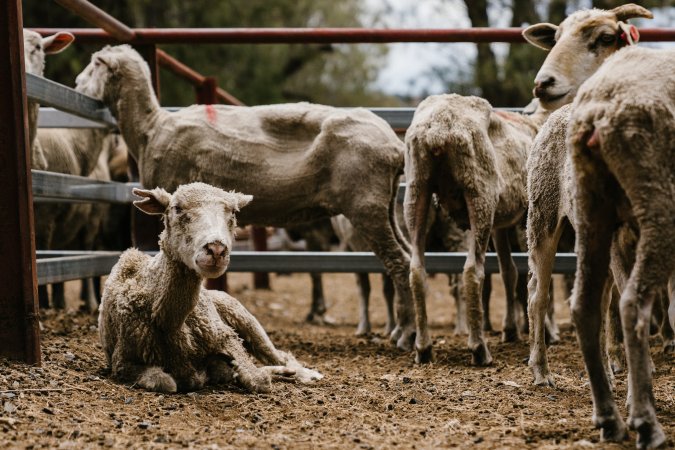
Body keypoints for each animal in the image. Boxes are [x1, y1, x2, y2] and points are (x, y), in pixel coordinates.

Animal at [74, 46, 418, 352]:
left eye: (94, 64)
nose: (76, 83)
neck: (149, 127)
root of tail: (393, 144)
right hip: (383, 204)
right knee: (408, 256)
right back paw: (402, 330)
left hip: (364, 202)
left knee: (399, 262)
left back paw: (407, 335)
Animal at [99, 181, 324, 392]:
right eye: (177, 208)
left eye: (233, 212)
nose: (216, 249)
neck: (169, 322)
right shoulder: (122, 360)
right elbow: (165, 382)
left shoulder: (225, 335)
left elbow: (256, 378)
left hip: (244, 317)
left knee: (280, 355)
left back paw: (306, 373)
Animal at [524, 2, 656, 386]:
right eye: (555, 38)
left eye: (606, 38)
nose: (543, 84)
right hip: (541, 217)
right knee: (538, 295)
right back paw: (541, 369)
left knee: (600, 297)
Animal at [568, 44, 672, 450]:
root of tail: (597, 110)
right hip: (656, 199)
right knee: (632, 304)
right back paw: (646, 423)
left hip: (590, 207)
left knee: (584, 304)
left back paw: (610, 419)